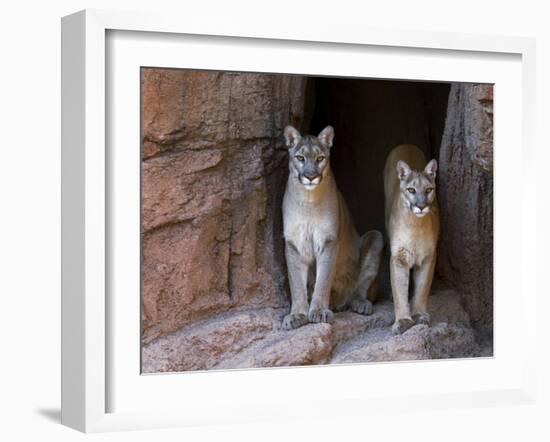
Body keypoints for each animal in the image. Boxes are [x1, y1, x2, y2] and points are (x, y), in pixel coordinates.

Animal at [280, 124, 384, 328]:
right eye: (300, 158)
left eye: (320, 158)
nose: (311, 176)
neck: (308, 200)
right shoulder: (294, 243)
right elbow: (296, 284)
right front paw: (297, 315)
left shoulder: (328, 241)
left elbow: (324, 280)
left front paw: (319, 311)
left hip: (376, 237)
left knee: (361, 289)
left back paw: (360, 304)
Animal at [386, 145, 442, 334]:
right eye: (411, 190)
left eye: (428, 190)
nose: (421, 206)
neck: (415, 226)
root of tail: (406, 144)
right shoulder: (398, 257)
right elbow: (399, 290)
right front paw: (403, 320)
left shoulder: (428, 257)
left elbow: (422, 287)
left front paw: (419, 315)